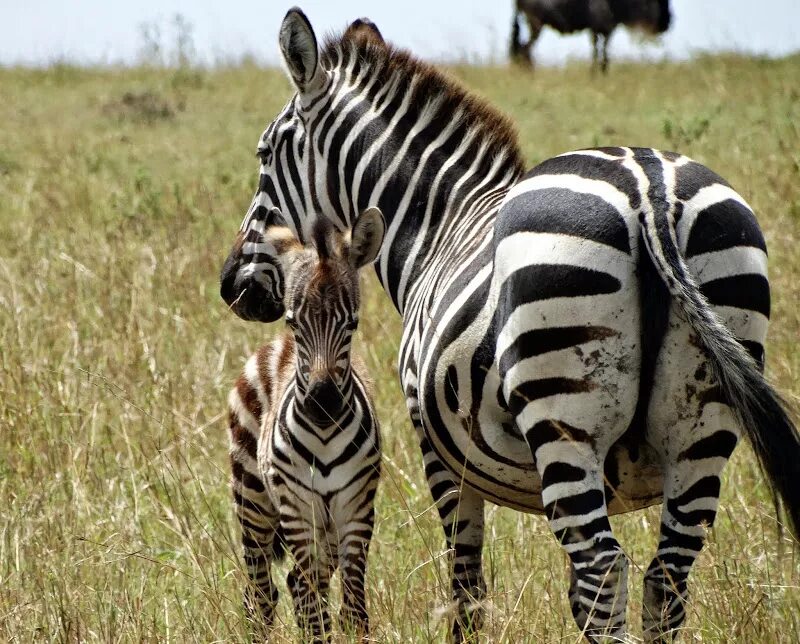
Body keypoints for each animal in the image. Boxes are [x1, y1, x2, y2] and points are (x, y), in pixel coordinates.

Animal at [227, 206, 385, 641]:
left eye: (352, 324)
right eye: (295, 322)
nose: (323, 403)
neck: (326, 435)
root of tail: (273, 347)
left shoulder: (357, 510)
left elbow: (353, 607)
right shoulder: (298, 512)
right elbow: (314, 608)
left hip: (325, 526)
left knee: (296, 582)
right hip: (254, 500)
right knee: (262, 594)